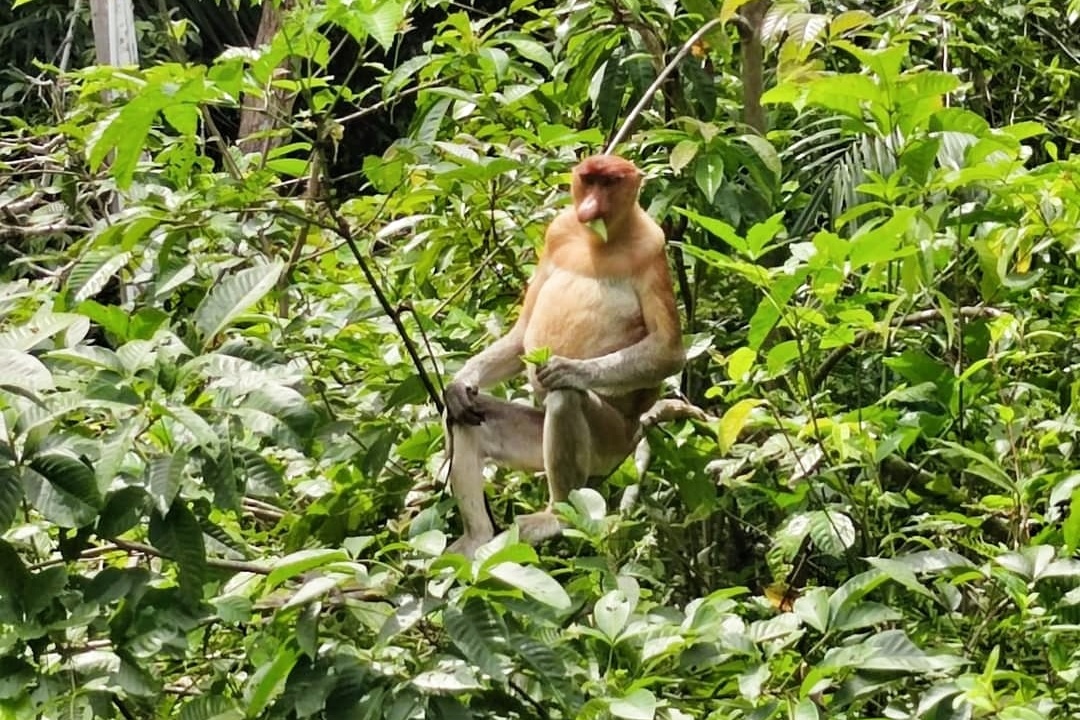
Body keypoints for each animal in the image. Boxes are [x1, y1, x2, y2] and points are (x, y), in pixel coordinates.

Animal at [442, 155, 684, 558]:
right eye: (589, 180)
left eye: (610, 183)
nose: (590, 207)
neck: (598, 240)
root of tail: (634, 432)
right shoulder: (558, 232)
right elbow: (524, 331)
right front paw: (460, 384)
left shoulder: (652, 247)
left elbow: (668, 350)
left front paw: (567, 370)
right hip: (534, 438)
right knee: (467, 418)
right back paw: (476, 538)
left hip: (608, 444)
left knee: (564, 401)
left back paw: (555, 516)